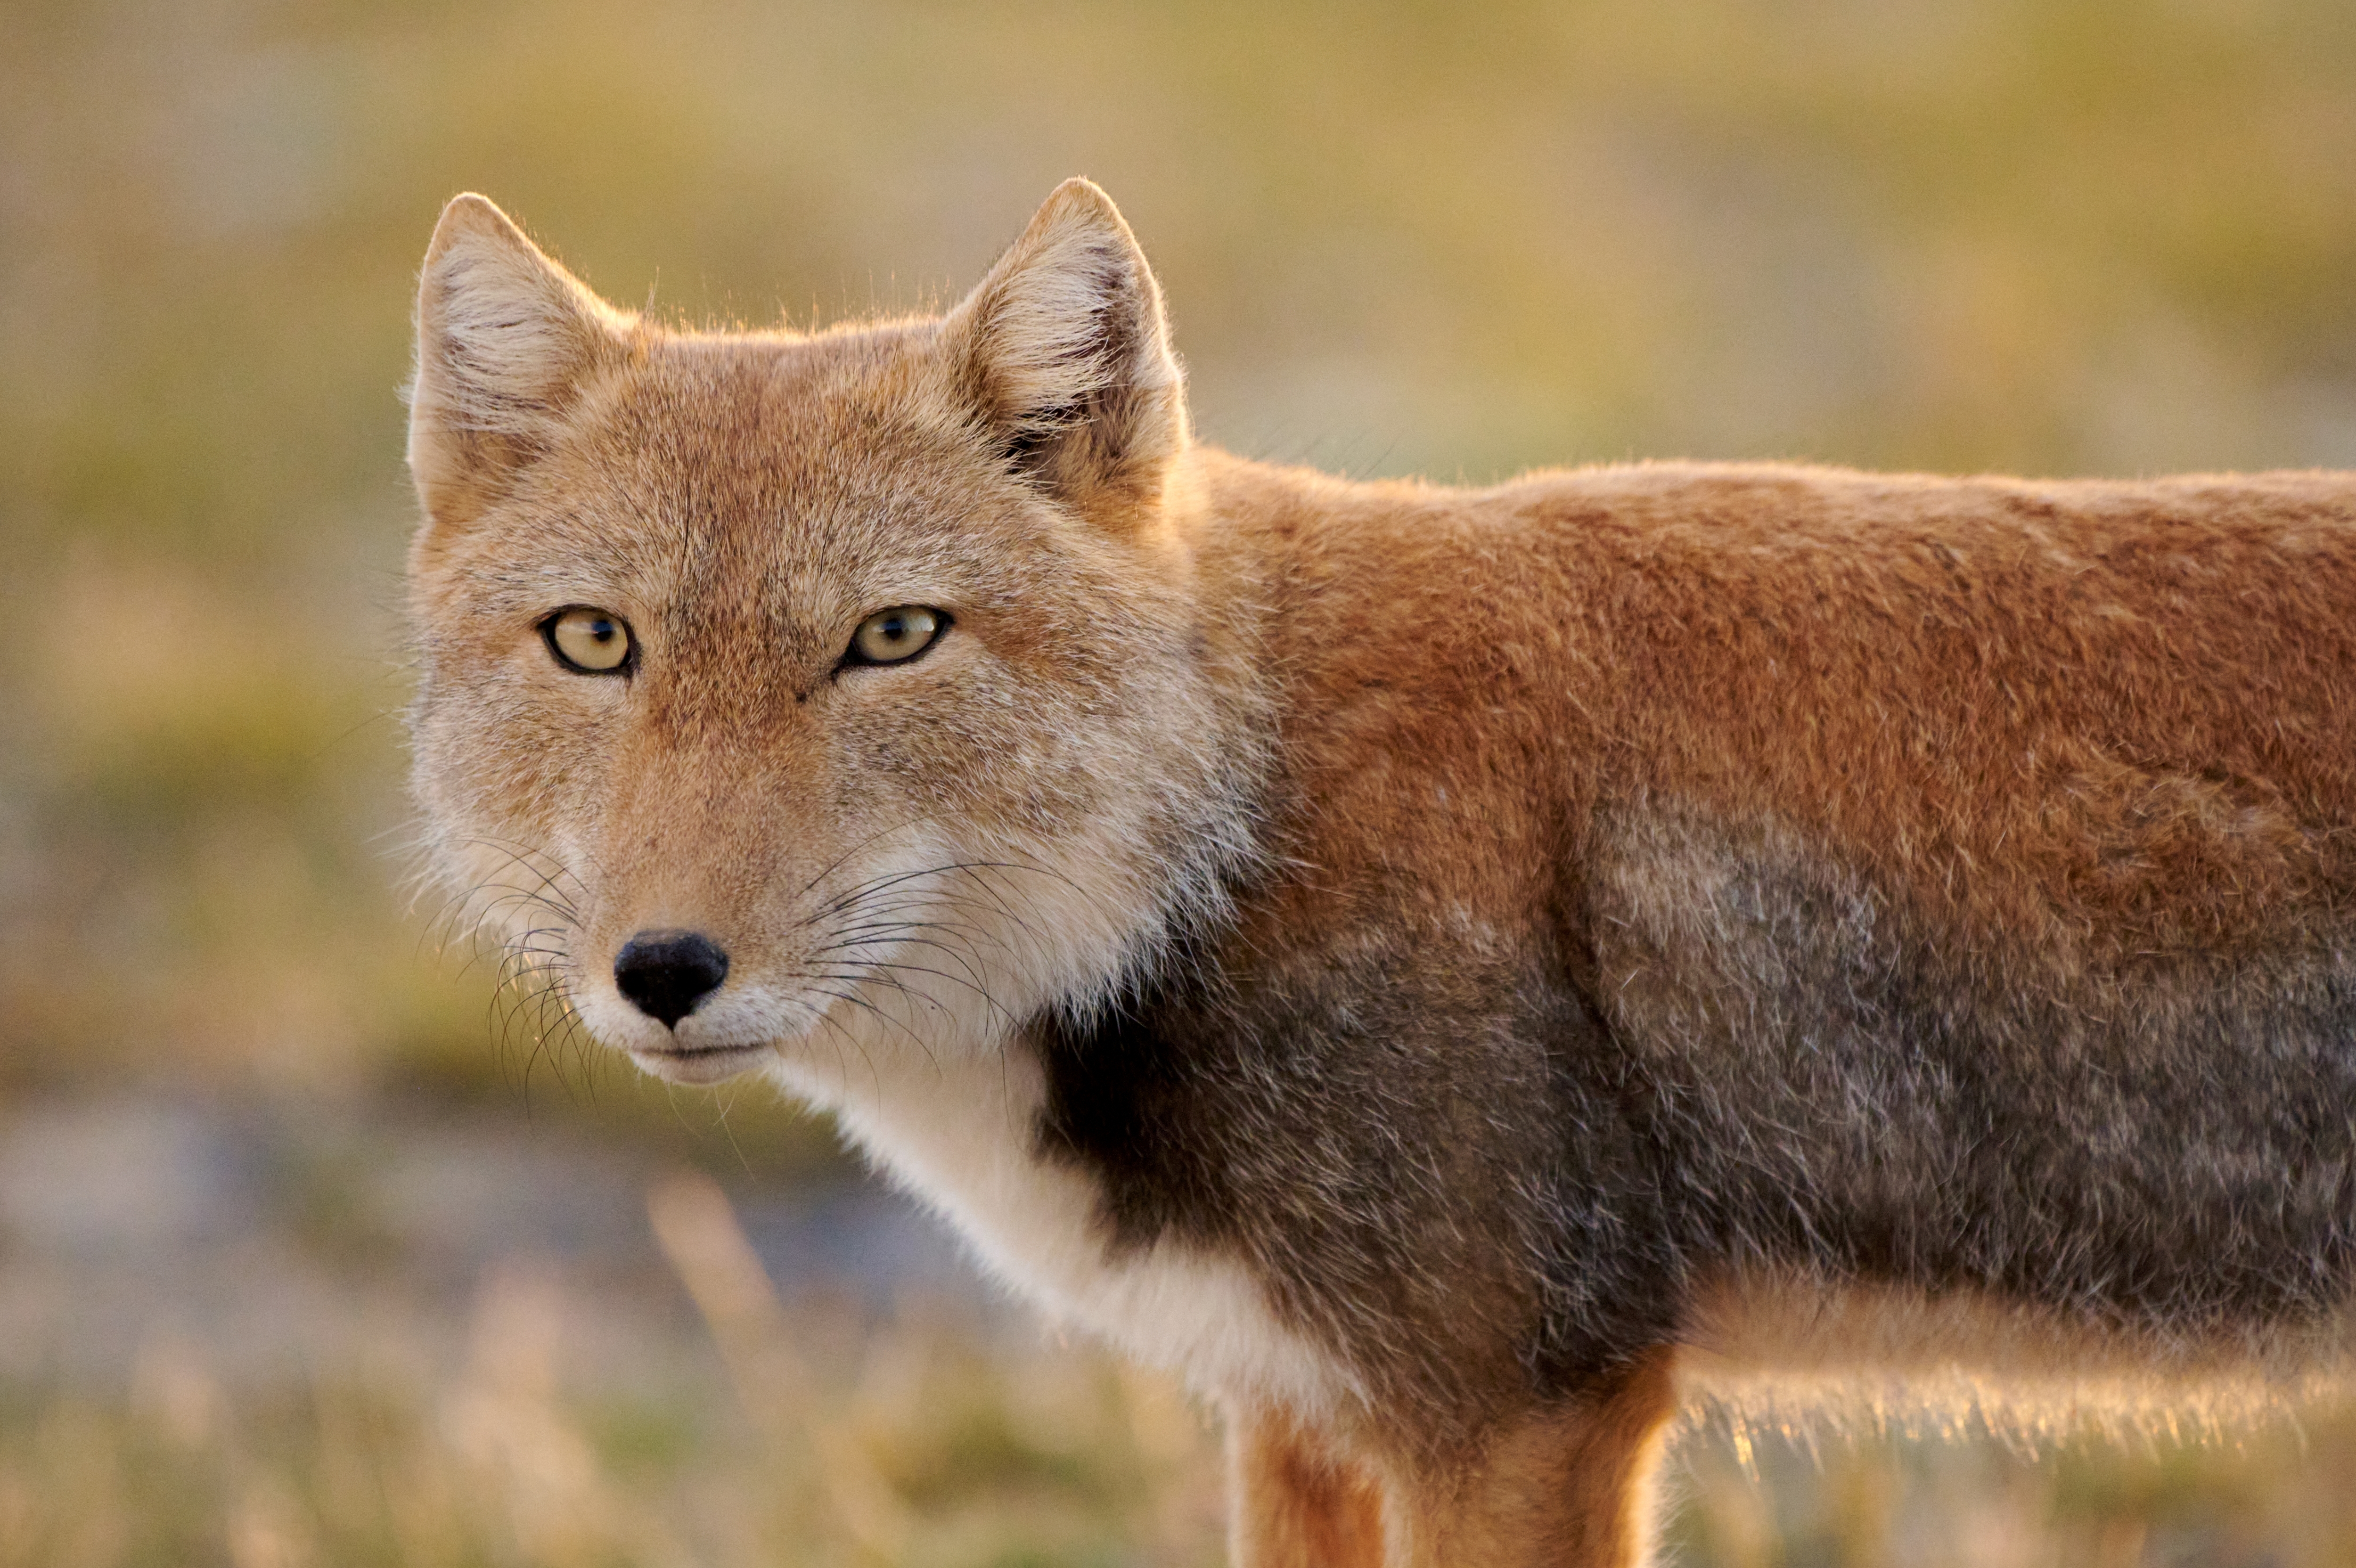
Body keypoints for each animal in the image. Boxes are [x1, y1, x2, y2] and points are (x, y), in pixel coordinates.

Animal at [401, 176, 2356, 1554]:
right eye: (595, 643)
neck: (1242, 828)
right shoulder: (1298, 1409)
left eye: (892, 638)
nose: (666, 969)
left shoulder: (1516, 1411)